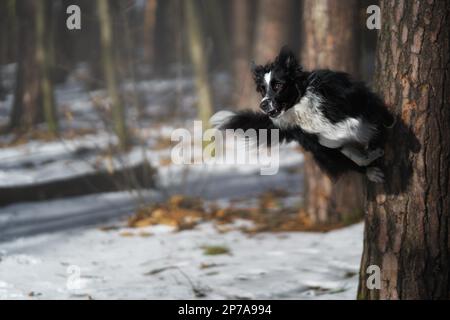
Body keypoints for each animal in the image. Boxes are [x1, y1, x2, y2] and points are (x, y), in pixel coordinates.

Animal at [211, 47, 394, 182]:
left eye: (278, 85)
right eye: (262, 89)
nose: (262, 104)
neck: (301, 104)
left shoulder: (355, 99)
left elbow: (356, 121)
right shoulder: (314, 140)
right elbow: (332, 141)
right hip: (323, 154)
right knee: (345, 159)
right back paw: (371, 170)